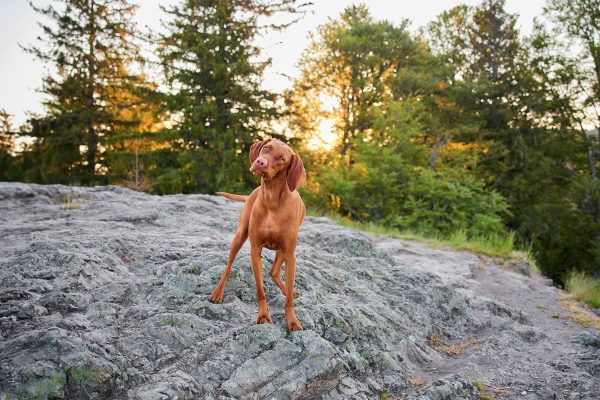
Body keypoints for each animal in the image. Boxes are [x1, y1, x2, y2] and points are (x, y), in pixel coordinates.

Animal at [210, 139, 304, 330]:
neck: (272, 199)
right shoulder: (255, 250)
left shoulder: (290, 255)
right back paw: (218, 292)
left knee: (274, 272)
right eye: (266, 148)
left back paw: (287, 290)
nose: (260, 162)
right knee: (228, 267)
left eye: (282, 159)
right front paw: (263, 315)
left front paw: (292, 320)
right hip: (239, 237)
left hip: (282, 251)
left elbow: (289, 298)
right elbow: (260, 290)